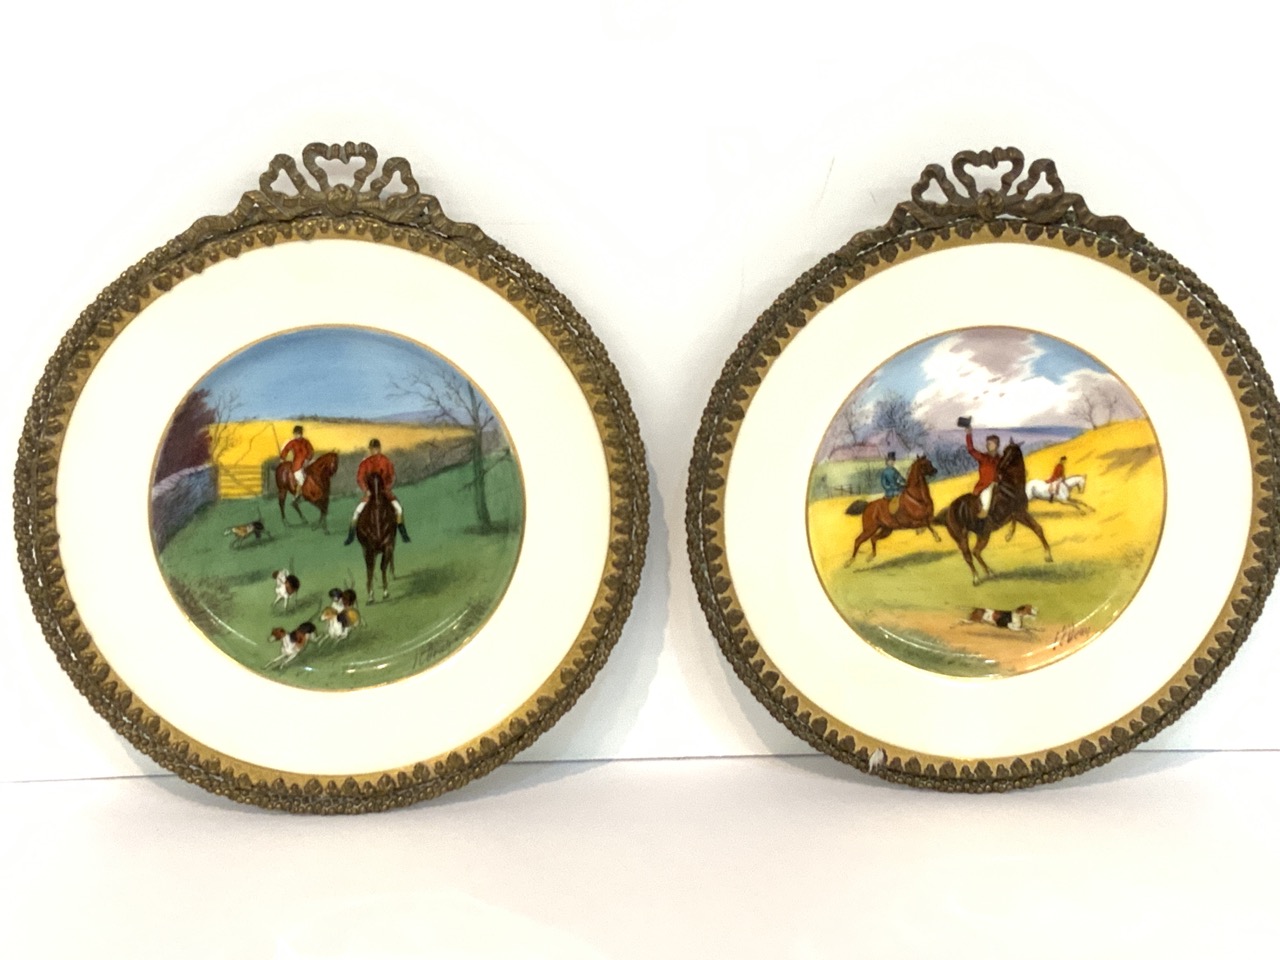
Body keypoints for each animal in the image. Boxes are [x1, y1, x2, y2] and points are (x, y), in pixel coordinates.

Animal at [357, 473, 396, 603]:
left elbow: (383, 566)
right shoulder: (369, 549)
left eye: (380, 481)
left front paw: (385, 592)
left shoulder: (388, 545)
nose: (378, 502)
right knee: (371, 566)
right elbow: (370, 568)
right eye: (369, 481)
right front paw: (370, 596)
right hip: (366, 550)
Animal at [941, 441, 1053, 585]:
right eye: (1004, 452)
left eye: (1012, 453)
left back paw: (990, 573)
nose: (999, 468)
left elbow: (1036, 528)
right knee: (968, 556)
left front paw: (1047, 555)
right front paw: (1047, 554)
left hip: (983, 534)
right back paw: (976, 578)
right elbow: (1035, 527)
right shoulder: (1020, 513)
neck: (1011, 486)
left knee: (976, 552)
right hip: (962, 537)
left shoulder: (1019, 513)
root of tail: (949, 509)